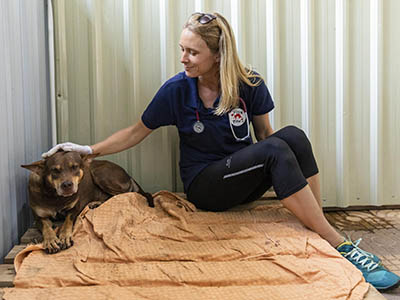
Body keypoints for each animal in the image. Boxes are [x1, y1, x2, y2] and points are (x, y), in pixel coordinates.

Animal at [21, 150, 155, 253]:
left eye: (74, 167)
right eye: (55, 170)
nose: (67, 185)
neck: (54, 196)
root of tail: (128, 174)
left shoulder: (75, 208)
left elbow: (68, 221)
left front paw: (64, 236)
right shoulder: (38, 216)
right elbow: (46, 226)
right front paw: (51, 240)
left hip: (99, 173)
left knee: (124, 194)